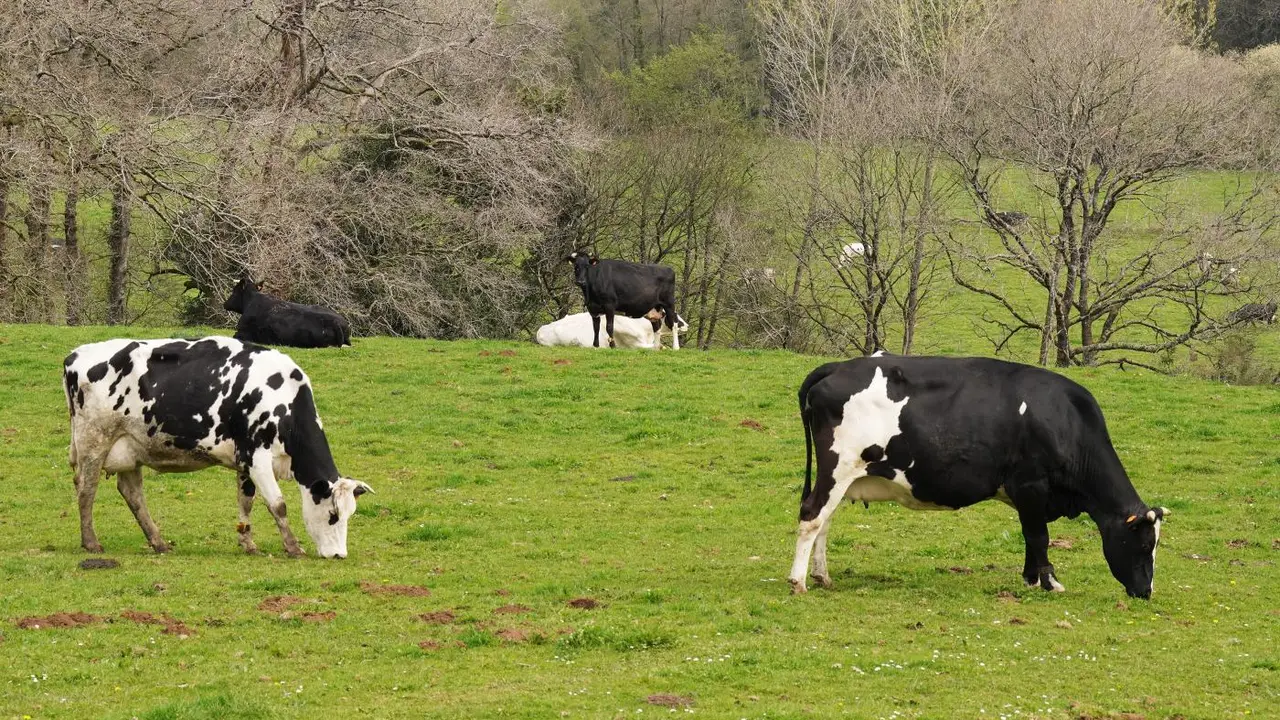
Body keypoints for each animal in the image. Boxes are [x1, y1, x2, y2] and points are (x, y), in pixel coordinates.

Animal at [63, 337, 372, 559]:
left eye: (350, 514)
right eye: (332, 516)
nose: (339, 555)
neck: (283, 398)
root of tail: (75, 355)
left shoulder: (245, 460)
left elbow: (246, 501)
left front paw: (248, 543)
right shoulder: (258, 457)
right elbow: (278, 505)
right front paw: (293, 547)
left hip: (130, 447)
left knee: (132, 494)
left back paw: (159, 543)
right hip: (94, 441)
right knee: (86, 489)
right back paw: (91, 543)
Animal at [790, 356, 1170, 599]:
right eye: (1144, 545)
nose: (1145, 592)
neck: (1064, 419)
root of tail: (837, 366)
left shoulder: (1026, 497)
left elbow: (1029, 536)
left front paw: (1031, 579)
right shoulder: (1031, 485)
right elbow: (1039, 537)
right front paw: (1050, 583)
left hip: (844, 477)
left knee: (824, 521)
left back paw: (822, 576)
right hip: (837, 467)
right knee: (812, 516)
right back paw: (798, 582)